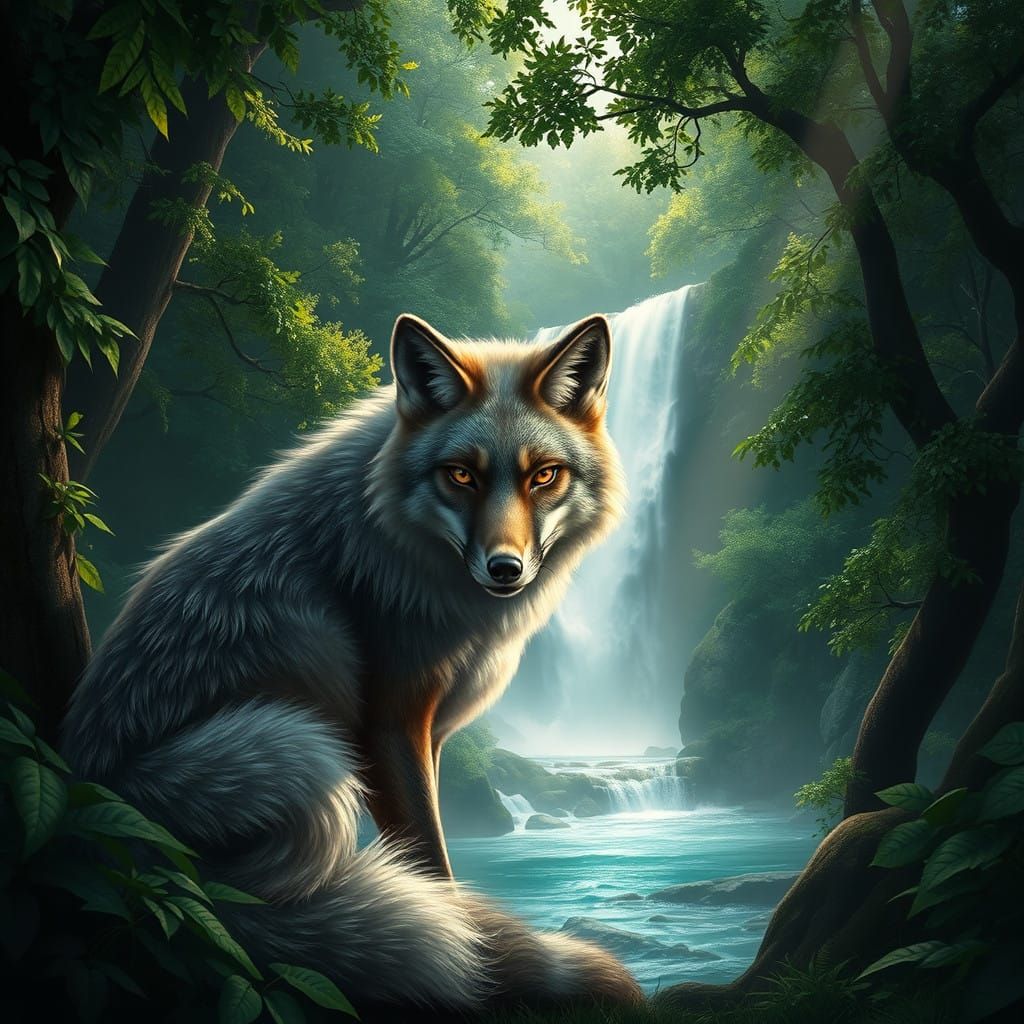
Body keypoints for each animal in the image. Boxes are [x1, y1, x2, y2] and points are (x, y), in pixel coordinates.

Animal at [60, 312, 637, 1012]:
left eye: (543, 476)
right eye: (461, 476)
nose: (505, 568)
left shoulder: (429, 735)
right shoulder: (388, 727)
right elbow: (428, 861)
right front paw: (474, 959)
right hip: (297, 750)